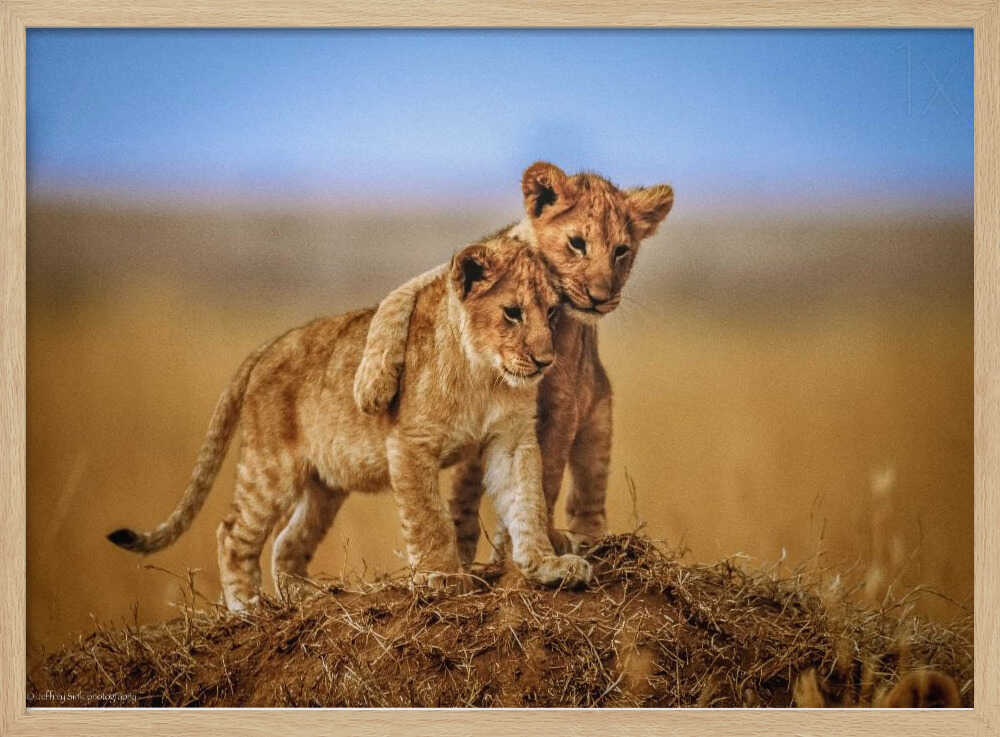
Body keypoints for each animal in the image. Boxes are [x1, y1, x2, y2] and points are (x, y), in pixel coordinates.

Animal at [106, 235, 592, 610]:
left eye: (552, 313)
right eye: (512, 312)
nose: (545, 360)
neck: (484, 375)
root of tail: (269, 345)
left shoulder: (511, 440)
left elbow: (528, 501)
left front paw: (547, 565)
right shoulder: (410, 442)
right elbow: (430, 517)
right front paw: (441, 576)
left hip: (326, 485)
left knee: (287, 541)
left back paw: (306, 596)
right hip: (271, 468)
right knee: (233, 533)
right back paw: (247, 607)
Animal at [352, 162, 674, 563]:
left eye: (621, 251)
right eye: (577, 243)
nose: (601, 297)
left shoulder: (563, 402)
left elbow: (544, 478)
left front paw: (532, 545)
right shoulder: (454, 274)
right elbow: (396, 300)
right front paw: (372, 385)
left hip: (598, 420)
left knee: (587, 495)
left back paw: (587, 542)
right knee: (464, 494)